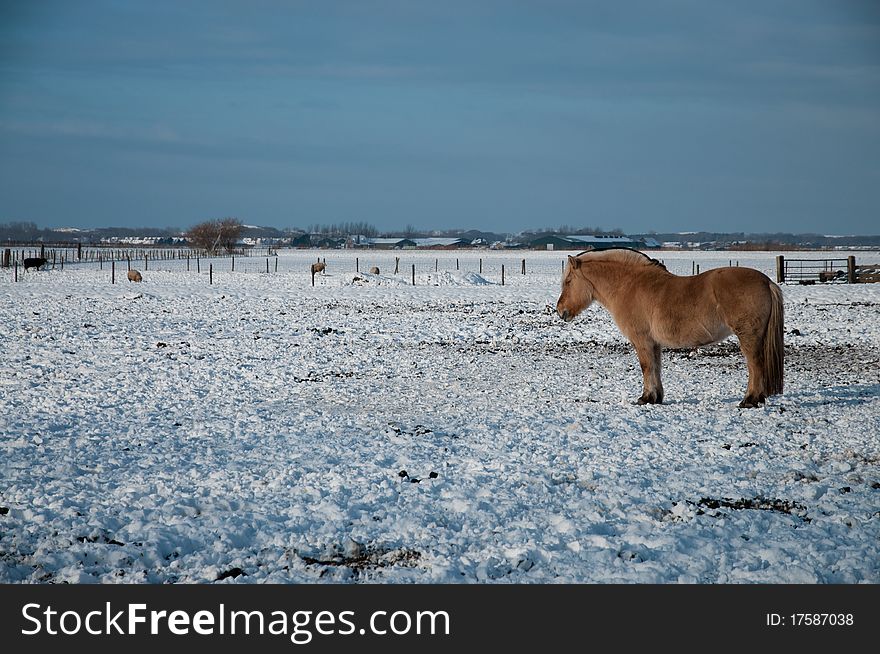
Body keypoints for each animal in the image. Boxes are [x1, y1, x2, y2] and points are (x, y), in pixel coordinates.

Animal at [556, 251, 784, 410]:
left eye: (568, 281)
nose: (560, 311)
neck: (629, 286)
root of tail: (767, 282)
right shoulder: (654, 343)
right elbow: (655, 367)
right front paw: (656, 397)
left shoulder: (642, 340)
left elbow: (646, 367)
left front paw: (645, 398)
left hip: (748, 337)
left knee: (755, 365)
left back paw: (750, 400)